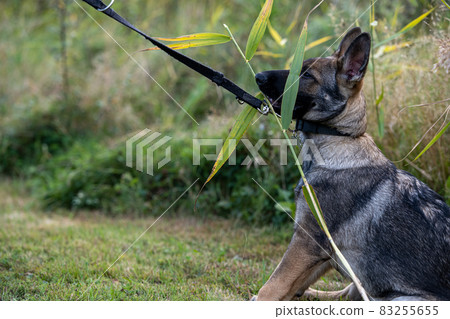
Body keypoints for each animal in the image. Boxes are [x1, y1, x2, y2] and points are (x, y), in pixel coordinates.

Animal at [253, 28, 450, 302]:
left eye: (307, 75)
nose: (258, 77)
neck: (338, 138)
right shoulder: (321, 247)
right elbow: (290, 285)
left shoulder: (308, 240)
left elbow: (274, 285)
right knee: (344, 292)